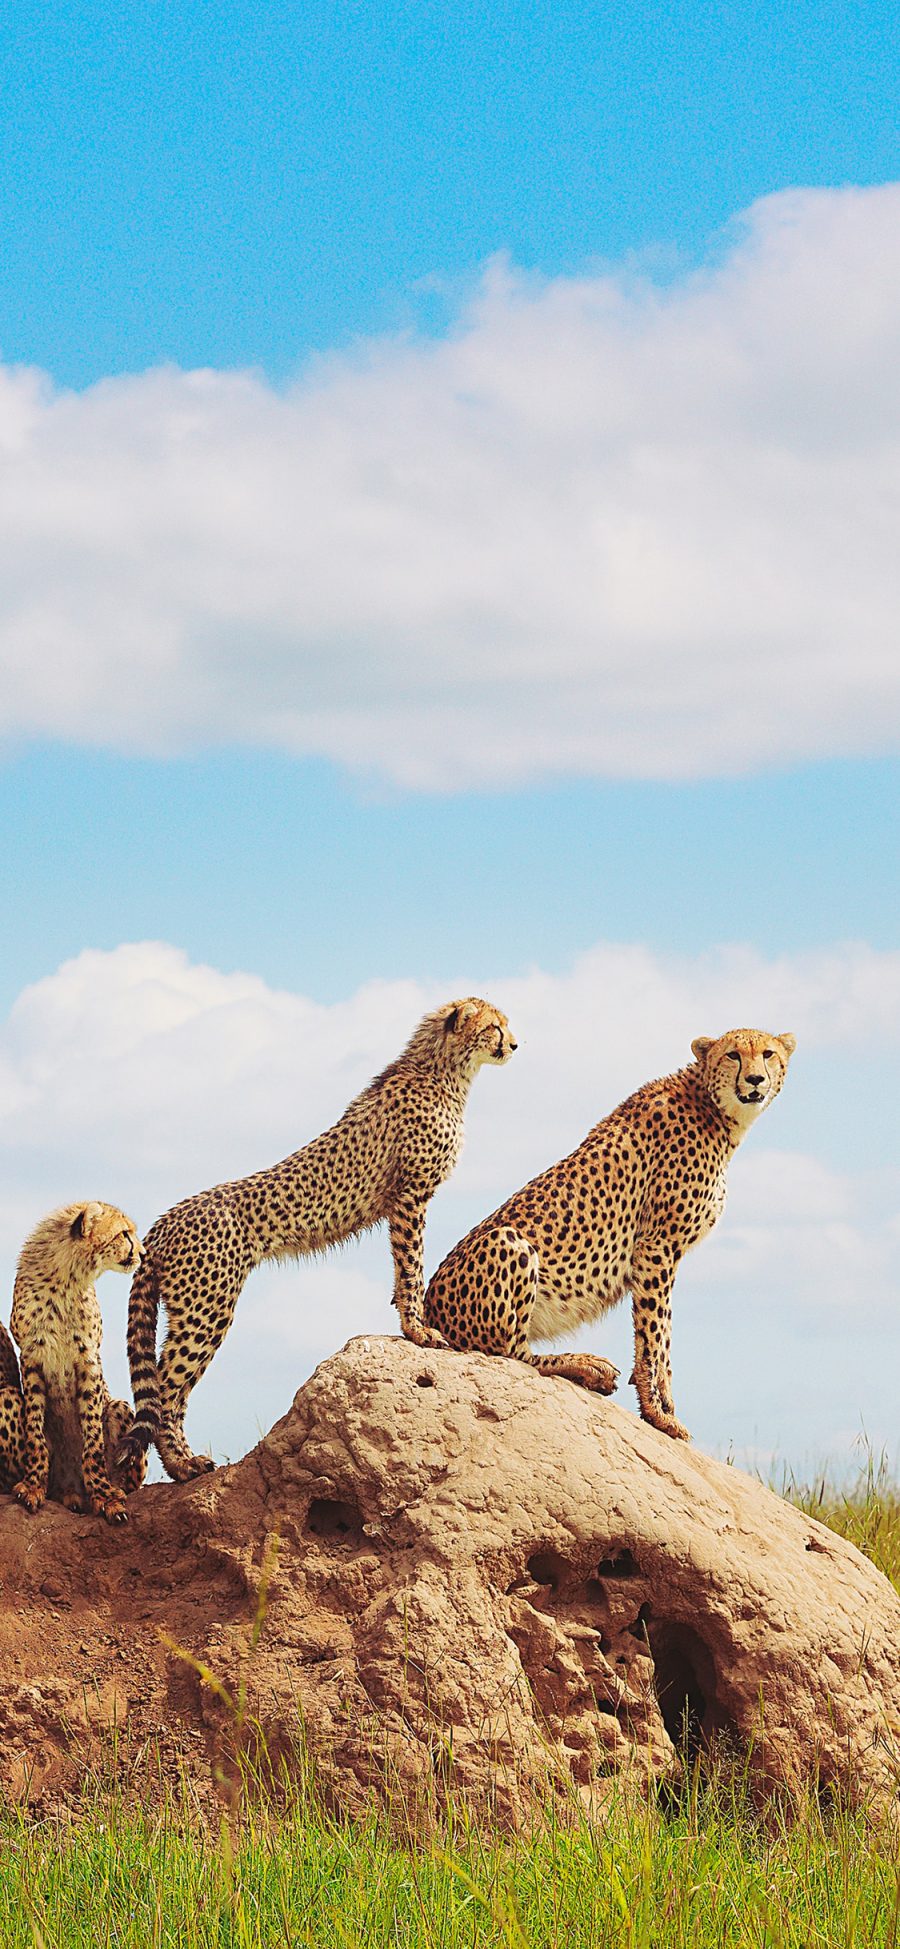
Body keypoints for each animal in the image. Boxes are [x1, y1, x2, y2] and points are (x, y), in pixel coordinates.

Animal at [0, 1200, 148, 1520]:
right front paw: (33, 1485)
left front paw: (105, 1497)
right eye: (124, 1233)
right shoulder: (31, 1358)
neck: (66, 1277)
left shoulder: (88, 1360)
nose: (143, 1254)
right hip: (6, 1396)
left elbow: (92, 1437)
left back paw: (112, 1489)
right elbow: (35, 1430)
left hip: (119, 1408)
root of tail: (71, 1489)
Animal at [123, 997, 518, 1481]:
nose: (515, 1044)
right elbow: (412, 1265)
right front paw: (419, 1329)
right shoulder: (410, 1197)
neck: (443, 1070)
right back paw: (184, 1464)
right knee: (166, 1388)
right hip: (207, 1308)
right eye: (494, 1027)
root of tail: (163, 1221)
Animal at [422, 1029, 794, 1442]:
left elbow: (655, 1335)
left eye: (768, 1054)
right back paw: (586, 1365)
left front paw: (661, 1406)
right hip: (508, 1241)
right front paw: (660, 1414)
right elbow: (654, 1336)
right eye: (733, 1054)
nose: (756, 1079)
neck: (713, 1108)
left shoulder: (659, 1253)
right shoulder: (656, 1247)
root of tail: (427, 1309)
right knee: (510, 1352)